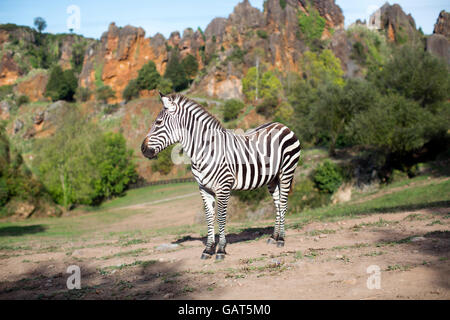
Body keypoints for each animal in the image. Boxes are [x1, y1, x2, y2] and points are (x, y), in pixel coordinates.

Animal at [142, 92, 300, 260]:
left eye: (158, 122)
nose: (143, 149)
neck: (203, 151)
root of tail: (281, 125)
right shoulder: (204, 188)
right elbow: (209, 217)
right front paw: (208, 249)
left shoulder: (223, 187)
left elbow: (221, 217)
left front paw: (221, 250)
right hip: (272, 178)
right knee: (278, 204)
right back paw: (273, 237)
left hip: (287, 172)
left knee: (283, 203)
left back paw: (281, 239)